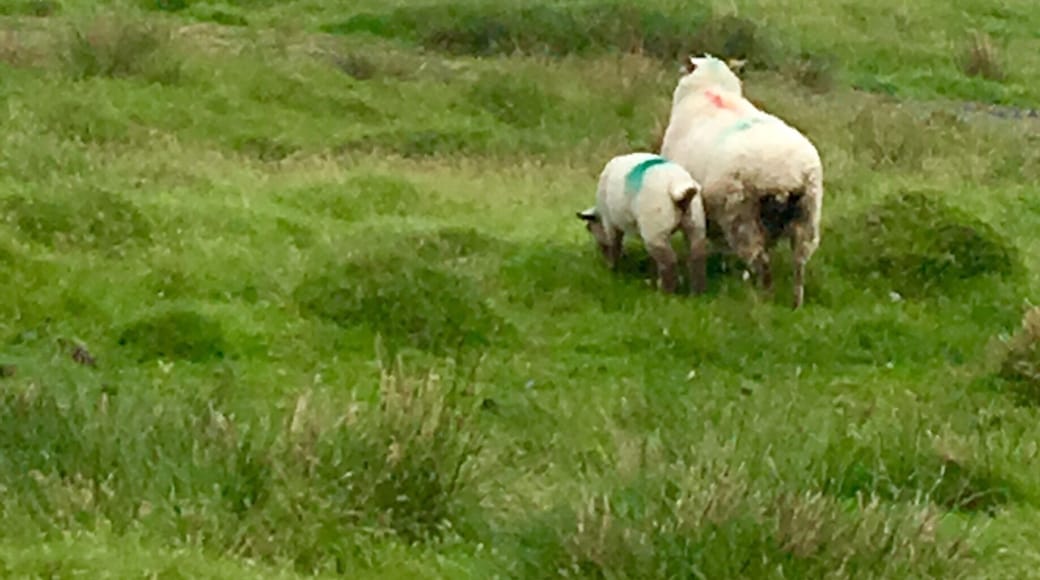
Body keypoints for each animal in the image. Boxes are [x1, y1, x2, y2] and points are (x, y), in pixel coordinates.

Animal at [577, 152, 707, 295]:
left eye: (589, 227)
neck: (600, 213)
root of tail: (678, 190)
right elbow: (651, 257)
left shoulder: (610, 223)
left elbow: (614, 244)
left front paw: (613, 269)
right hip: (695, 222)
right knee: (697, 255)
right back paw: (697, 292)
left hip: (656, 227)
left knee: (669, 261)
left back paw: (666, 293)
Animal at [659, 54, 824, 309]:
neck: (712, 92)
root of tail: (784, 173)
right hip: (807, 215)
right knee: (799, 262)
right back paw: (795, 304)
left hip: (740, 214)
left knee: (760, 260)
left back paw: (764, 297)